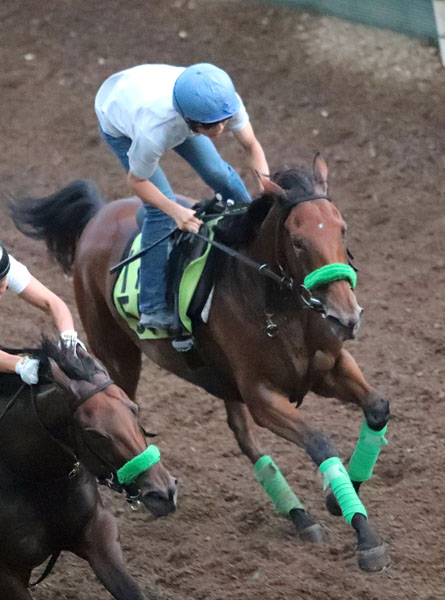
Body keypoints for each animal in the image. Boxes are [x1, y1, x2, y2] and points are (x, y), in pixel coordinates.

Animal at [12, 155, 391, 572]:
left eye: (343, 229)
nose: (346, 317)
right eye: (298, 241)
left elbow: (377, 407)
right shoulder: (262, 396)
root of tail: (98, 213)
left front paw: (338, 499)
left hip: (222, 379)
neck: (278, 306)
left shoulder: (328, 367)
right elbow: (320, 442)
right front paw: (366, 538)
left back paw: (298, 515)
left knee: (244, 438)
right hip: (117, 355)